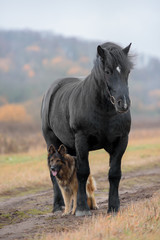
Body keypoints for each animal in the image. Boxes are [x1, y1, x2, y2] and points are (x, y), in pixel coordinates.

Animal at [41, 42, 132, 217]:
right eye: (107, 71)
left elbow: (114, 174)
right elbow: (82, 172)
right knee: (53, 173)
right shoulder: (82, 140)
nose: (123, 104)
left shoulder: (121, 141)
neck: (104, 111)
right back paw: (58, 206)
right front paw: (82, 209)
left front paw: (113, 208)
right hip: (52, 142)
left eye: (127, 71)